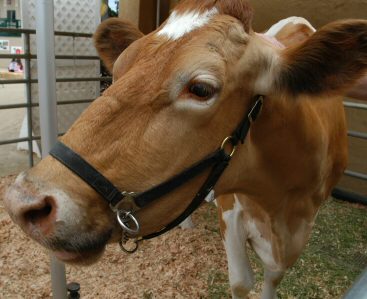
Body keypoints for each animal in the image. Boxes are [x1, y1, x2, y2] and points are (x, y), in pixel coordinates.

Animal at [2, 0, 367, 298]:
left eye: (201, 89)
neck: (278, 205)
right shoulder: (230, 213)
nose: (22, 201)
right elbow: (241, 283)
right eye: (117, 71)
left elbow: (270, 280)